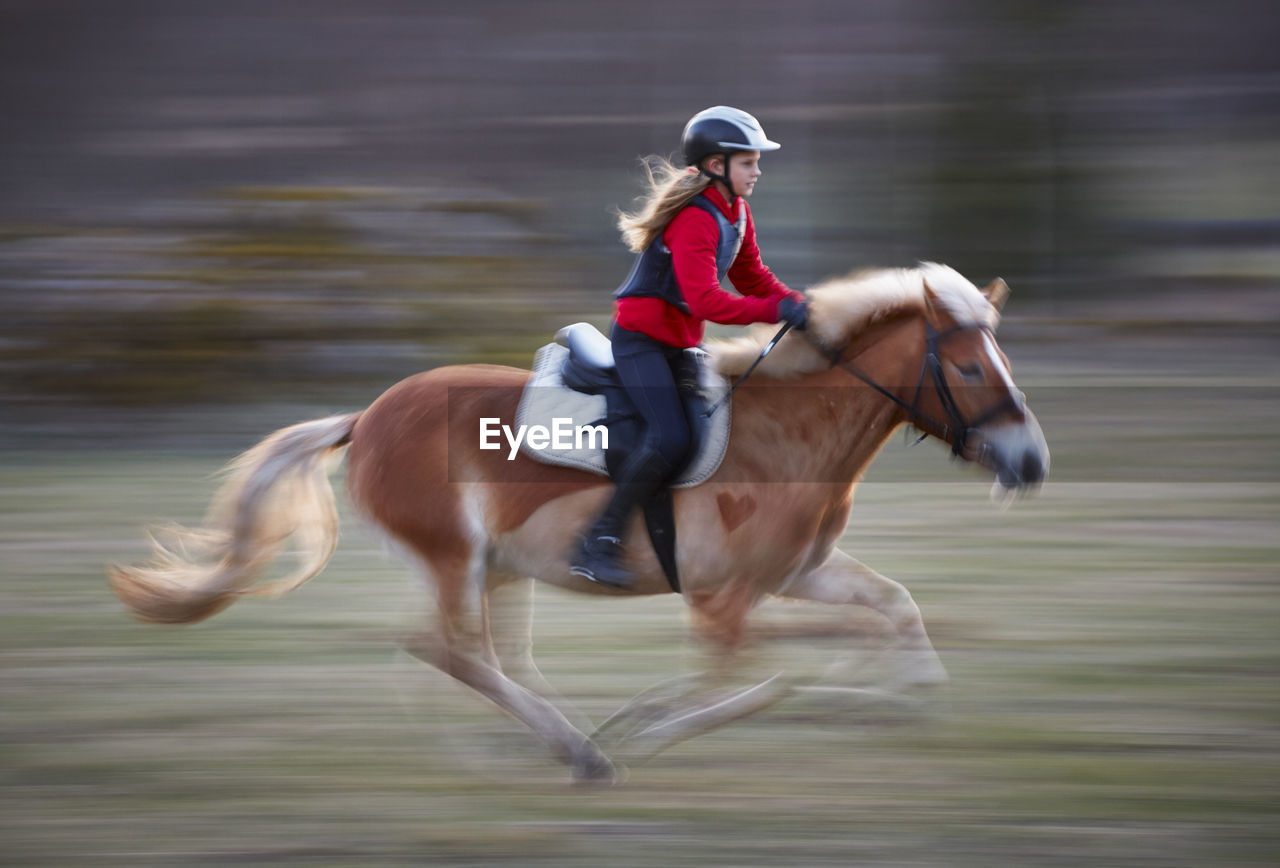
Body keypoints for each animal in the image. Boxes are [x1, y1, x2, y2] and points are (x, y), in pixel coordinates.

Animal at [110, 263, 1049, 783]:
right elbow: (751, 680)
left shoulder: (799, 573)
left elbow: (894, 610)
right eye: (971, 366)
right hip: (457, 558)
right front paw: (640, 731)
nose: (1032, 463)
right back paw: (578, 754)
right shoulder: (723, 599)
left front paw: (901, 697)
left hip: (496, 568)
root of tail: (367, 416)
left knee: (468, 657)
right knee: (454, 651)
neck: (789, 430)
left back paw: (527, 748)